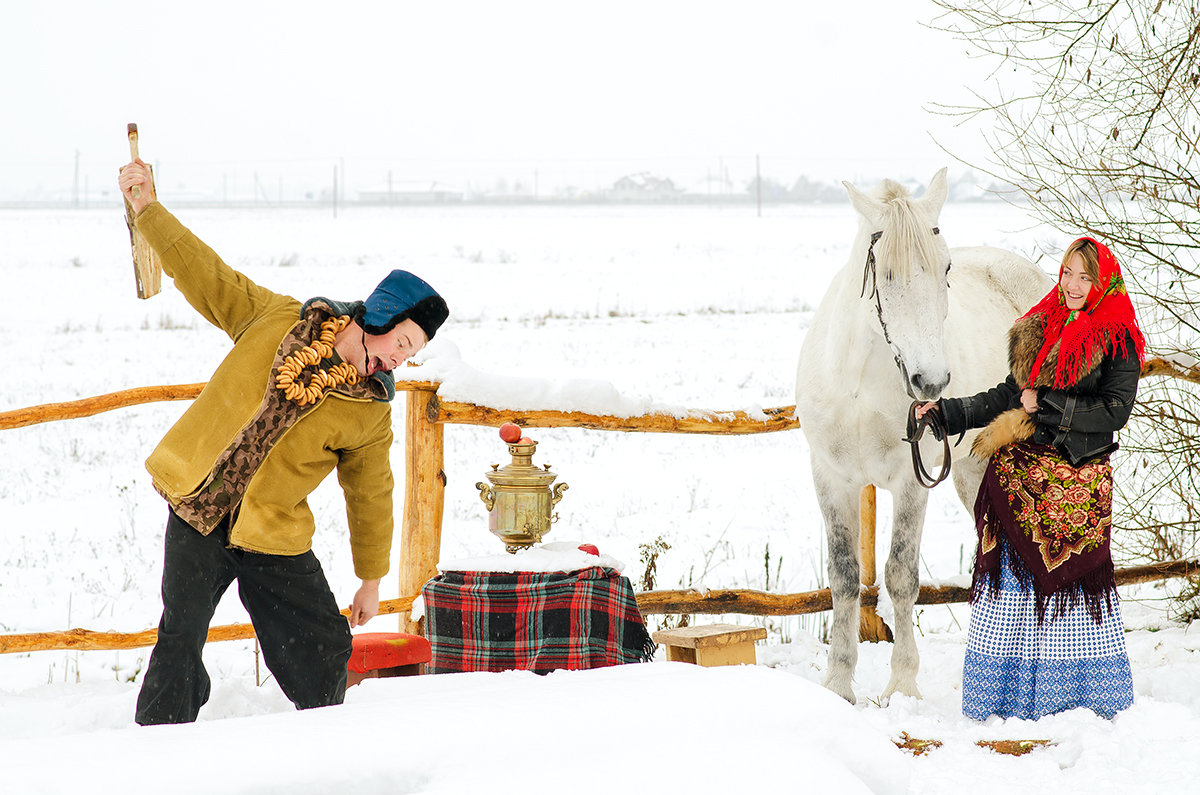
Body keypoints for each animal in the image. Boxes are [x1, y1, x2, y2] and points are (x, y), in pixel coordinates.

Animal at [796, 168, 1051, 706]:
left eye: (946, 267)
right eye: (886, 275)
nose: (931, 383)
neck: (860, 384)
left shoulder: (911, 483)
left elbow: (899, 576)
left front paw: (903, 686)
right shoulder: (831, 479)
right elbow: (844, 578)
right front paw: (838, 685)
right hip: (973, 471)